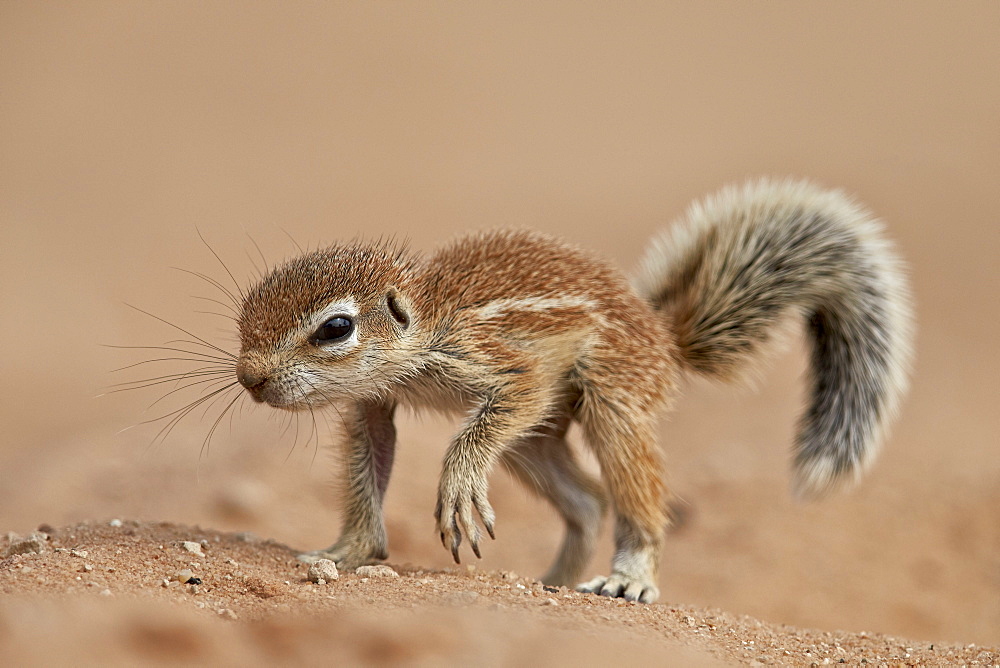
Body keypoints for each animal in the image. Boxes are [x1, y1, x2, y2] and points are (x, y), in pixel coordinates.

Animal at [232, 176, 908, 600]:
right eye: (245, 312)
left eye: (336, 327)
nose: (249, 378)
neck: (428, 321)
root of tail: (664, 338)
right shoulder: (374, 404)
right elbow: (368, 464)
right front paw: (345, 551)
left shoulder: (497, 363)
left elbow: (500, 404)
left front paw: (458, 486)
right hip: (538, 440)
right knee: (586, 501)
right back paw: (552, 581)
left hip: (612, 398)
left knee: (634, 500)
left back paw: (630, 577)